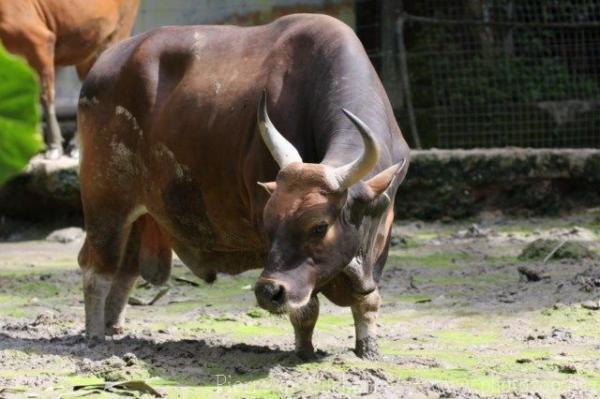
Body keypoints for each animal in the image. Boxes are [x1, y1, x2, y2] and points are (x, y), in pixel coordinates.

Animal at [77, 14, 410, 360]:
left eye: (320, 227)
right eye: (268, 223)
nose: (268, 292)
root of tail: (102, 67)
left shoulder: (381, 234)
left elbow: (368, 301)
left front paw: (367, 349)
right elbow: (306, 308)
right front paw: (304, 350)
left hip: (139, 214)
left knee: (125, 268)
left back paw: (113, 327)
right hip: (105, 201)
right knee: (95, 266)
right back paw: (95, 335)